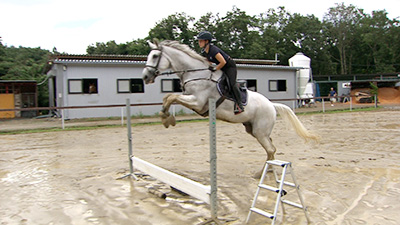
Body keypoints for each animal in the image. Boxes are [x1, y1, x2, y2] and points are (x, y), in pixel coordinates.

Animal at [142, 39, 318, 161]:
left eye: (155, 56)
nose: (145, 77)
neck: (195, 73)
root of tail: (271, 105)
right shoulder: (190, 99)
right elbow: (168, 97)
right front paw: (165, 116)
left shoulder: (197, 102)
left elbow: (172, 97)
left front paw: (166, 118)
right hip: (253, 130)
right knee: (271, 148)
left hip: (260, 131)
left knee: (270, 149)